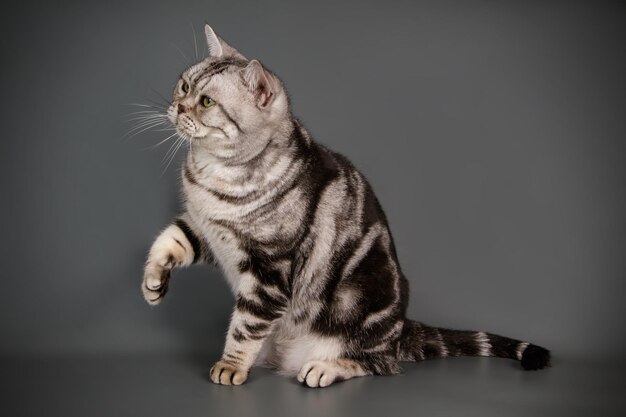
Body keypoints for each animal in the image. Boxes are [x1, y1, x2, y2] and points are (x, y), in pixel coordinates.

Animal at [140, 22, 544, 386]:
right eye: (184, 85)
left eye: (206, 101)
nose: (177, 107)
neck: (211, 173)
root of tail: (402, 328)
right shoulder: (204, 228)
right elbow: (169, 240)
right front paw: (153, 281)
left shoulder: (269, 269)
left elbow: (246, 326)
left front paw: (231, 365)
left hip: (360, 301)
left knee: (378, 363)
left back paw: (324, 368)